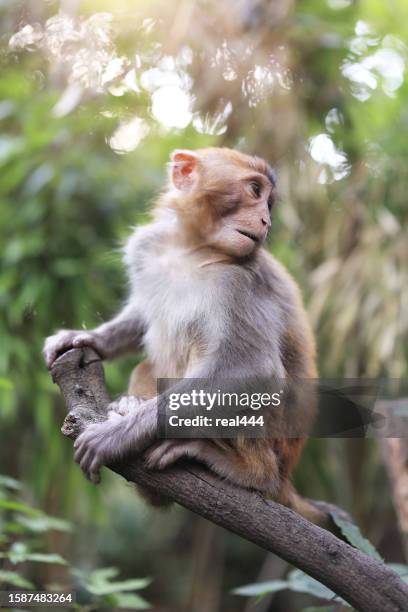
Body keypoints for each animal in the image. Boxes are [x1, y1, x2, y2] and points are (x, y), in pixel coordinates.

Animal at [43, 148, 326, 524]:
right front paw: (90, 338)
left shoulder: (241, 282)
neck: (192, 249)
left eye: (269, 202)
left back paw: (248, 469)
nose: (266, 221)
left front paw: (116, 436)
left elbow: (254, 369)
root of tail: (286, 476)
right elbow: (142, 312)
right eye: (255, 191)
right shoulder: (147, 246)